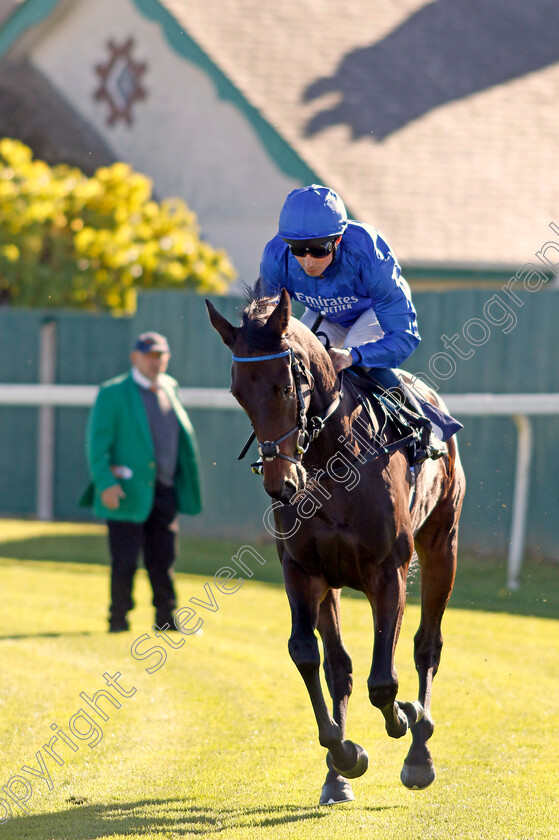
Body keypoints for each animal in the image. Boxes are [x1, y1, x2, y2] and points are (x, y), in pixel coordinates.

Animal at [208, 290, 466, 808]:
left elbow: (384, 681)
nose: (280, 484)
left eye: (285, 387)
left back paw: (419, 752)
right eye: (238, 393)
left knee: (427, 645)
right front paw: (344, 755)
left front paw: (403, 717)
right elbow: (310, 656)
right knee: (340, 666)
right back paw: (336, 775)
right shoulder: (303, 569)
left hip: (441, 544)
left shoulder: (388, 571)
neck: (333, 459)